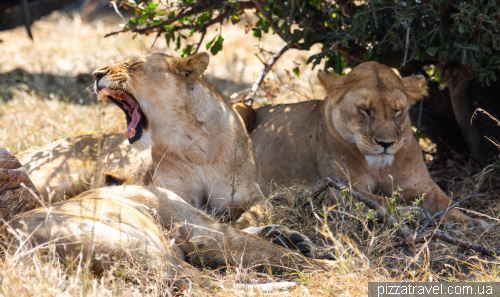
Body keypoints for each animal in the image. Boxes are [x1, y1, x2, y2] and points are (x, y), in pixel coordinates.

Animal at [252, 61, 486, 229]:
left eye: (397, 111)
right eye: (365, 111)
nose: (386, 143)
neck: (379, 166)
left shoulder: (420, 184)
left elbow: (446, 202)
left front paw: (470, 222)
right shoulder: (341, 190)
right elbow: (380, 201)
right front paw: (411, 212)